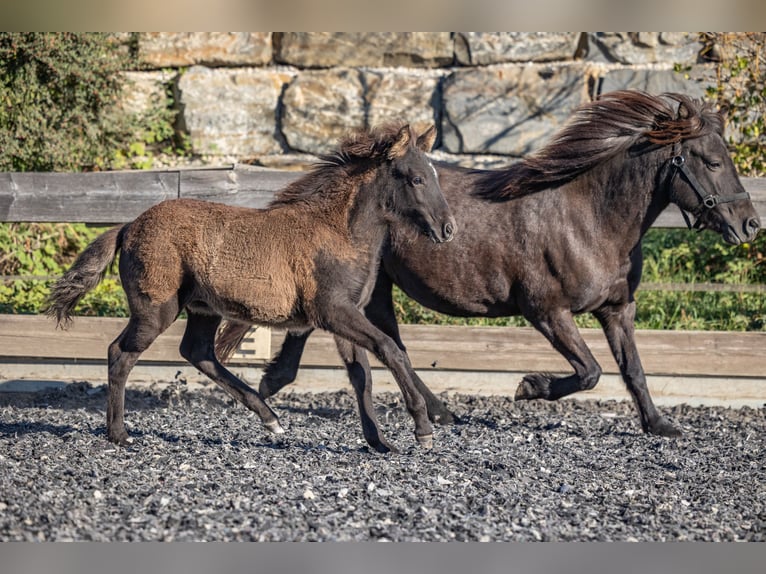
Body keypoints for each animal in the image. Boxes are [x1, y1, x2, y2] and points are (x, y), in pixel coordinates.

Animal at [46, 123, 456, 452]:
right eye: (416, 179)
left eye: (435, 176)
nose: (448, 229)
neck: (339, 232)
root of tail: (129, 225)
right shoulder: (334, 311)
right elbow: (390, 349)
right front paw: (422, 429)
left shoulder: (346, 315)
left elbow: (362, 376)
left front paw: (380, 442)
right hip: (155, 310)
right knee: (120, 353)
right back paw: (119, 434)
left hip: (202, 309)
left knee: (198, 352)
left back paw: (271, 419)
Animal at [217, 90, 761, 448]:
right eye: (712, 161)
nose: (750, 224)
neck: (589, 220)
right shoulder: (547, 312)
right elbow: (590, 372)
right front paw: (529, 388)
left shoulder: (617, 310)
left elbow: (633, 370)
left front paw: (660, 425)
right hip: (373, 287)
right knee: (371, 337)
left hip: (374, 287)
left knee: (364, 335)